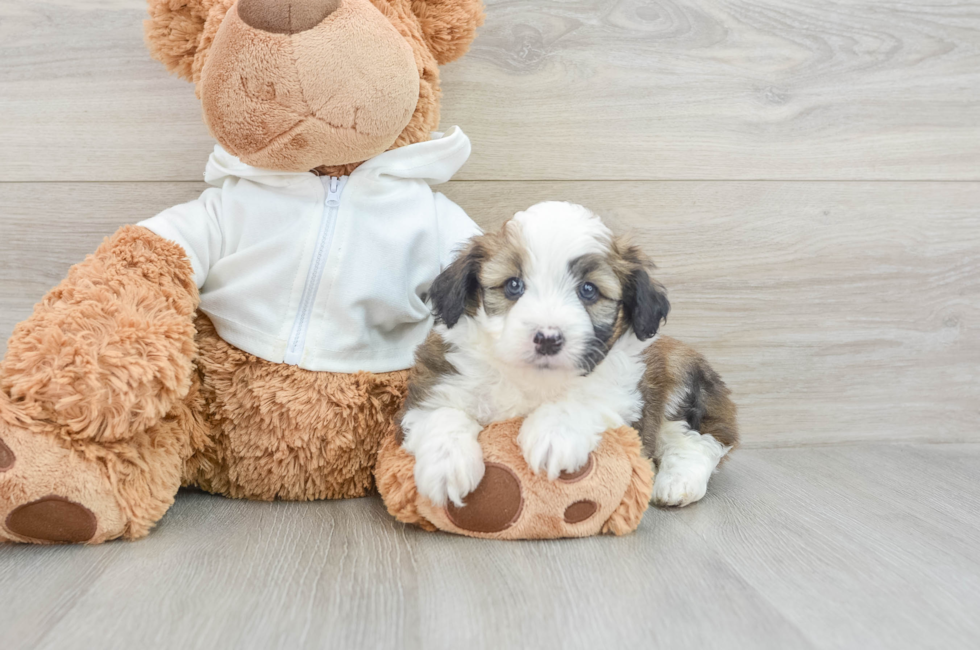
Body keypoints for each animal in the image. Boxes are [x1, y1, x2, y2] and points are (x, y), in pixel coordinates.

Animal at [398, 201, 736, 506]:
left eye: (588, 290)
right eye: (513, 285)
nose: (548, 339)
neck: (533, 379)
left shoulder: (626, 392)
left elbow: (588, 397)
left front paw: (553, 435)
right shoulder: (439, 380)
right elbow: (441, 413)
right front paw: (446, 464)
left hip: (681, 380)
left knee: (700, 442)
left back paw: (676, 483)